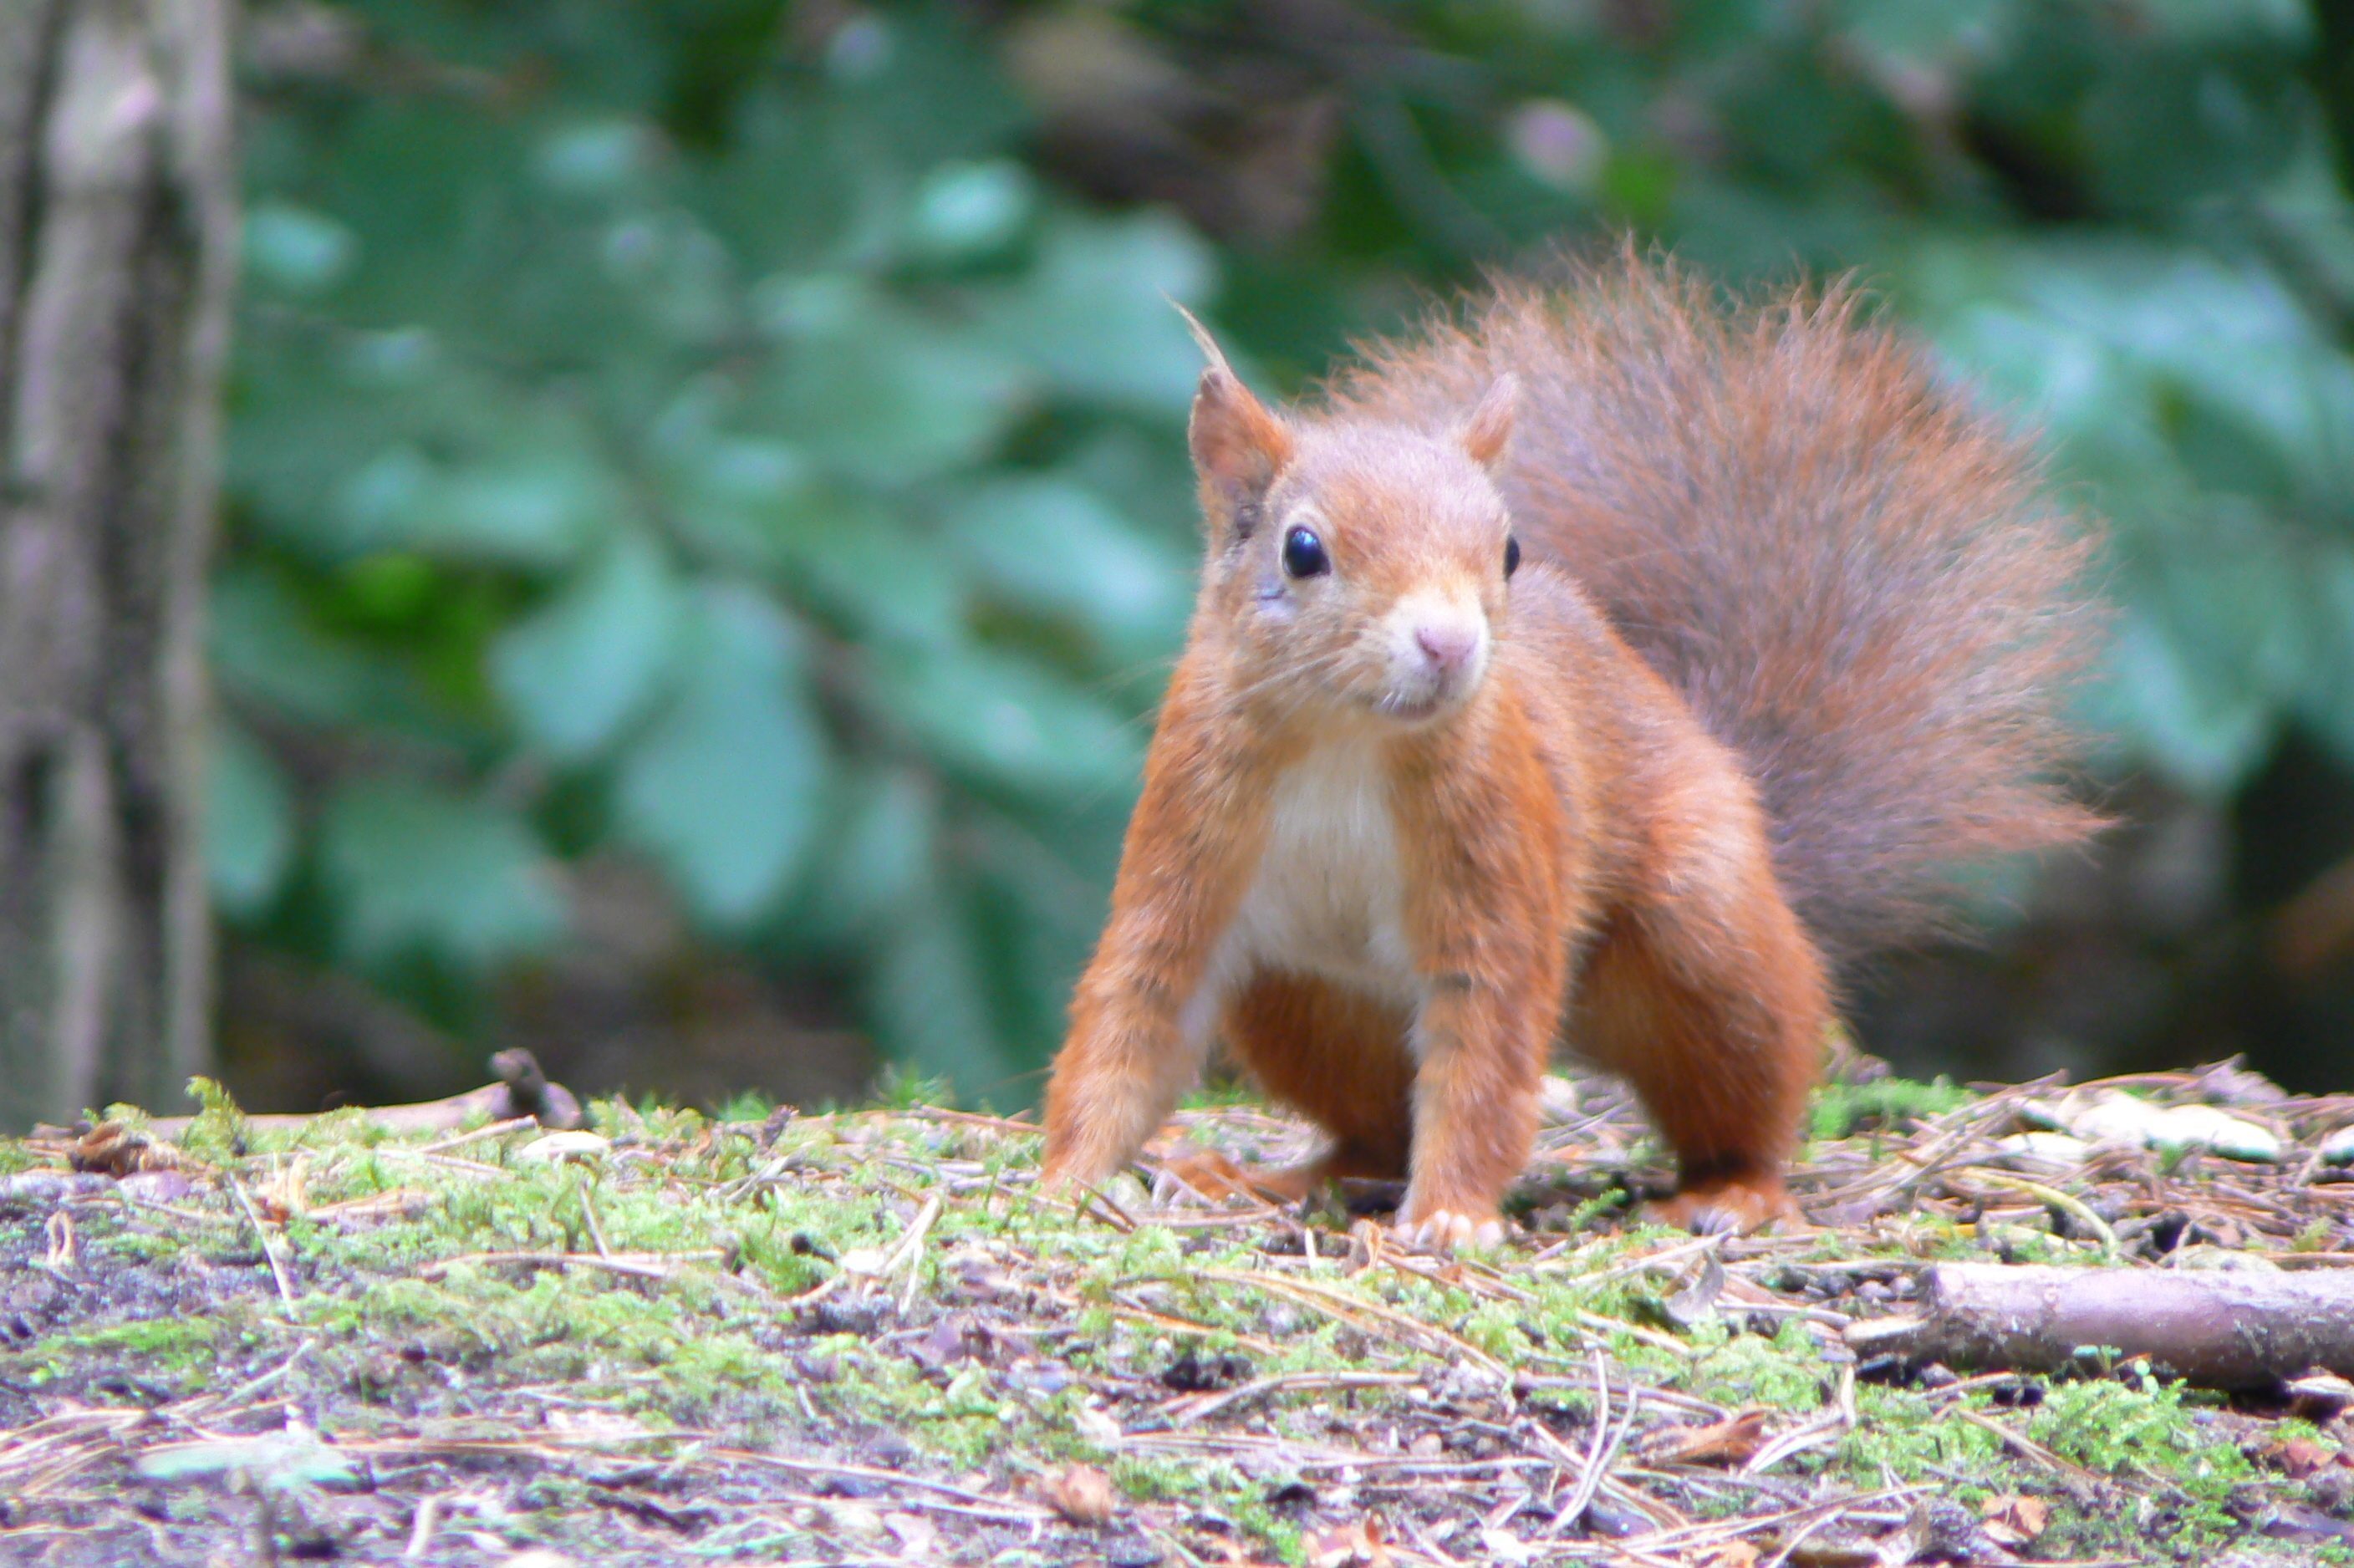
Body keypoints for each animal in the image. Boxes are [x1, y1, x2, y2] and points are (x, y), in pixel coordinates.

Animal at [1031, 250, 2099, 1243]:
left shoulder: (1499, 858)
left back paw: (1732, 1190)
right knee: (1373, 1132)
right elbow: (1132, 1018)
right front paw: (1067, 1181)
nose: (1449, 642)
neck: (1348, 743)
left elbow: (1486, 1050)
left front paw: (1451, 1216)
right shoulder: (1185, 848)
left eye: (1507, 550)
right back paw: (1269, 1177)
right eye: (1301, 550)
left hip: (1702, 938)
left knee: (1751, 1087)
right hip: (1298, 1003)